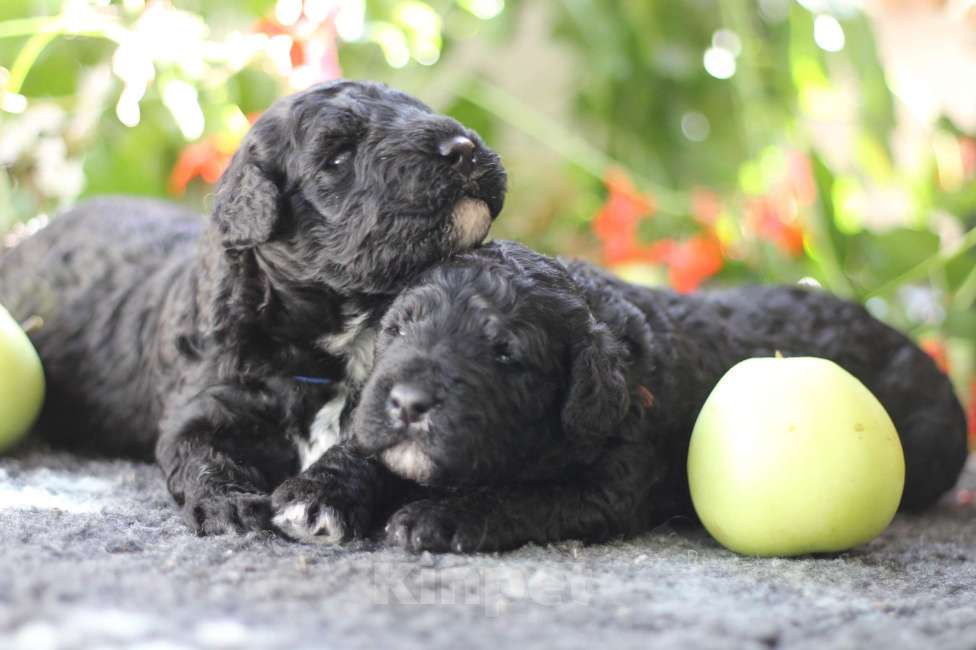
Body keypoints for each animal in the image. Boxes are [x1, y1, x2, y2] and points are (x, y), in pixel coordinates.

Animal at [1, 79, 510, 532]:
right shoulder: (203, 404)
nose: (462, 148)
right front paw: (229, 503)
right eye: (338, 157)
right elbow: (202, 455)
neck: (336, 341)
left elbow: (371, 449)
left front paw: (316, 497)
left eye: (416, 109)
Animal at [272, 239, 968, 552]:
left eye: (506, 355)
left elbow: (521, 497)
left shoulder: (611, 484)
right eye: (397, 329)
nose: (410, 403)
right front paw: (315, 494)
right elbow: (364, 447)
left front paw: (438, 517)